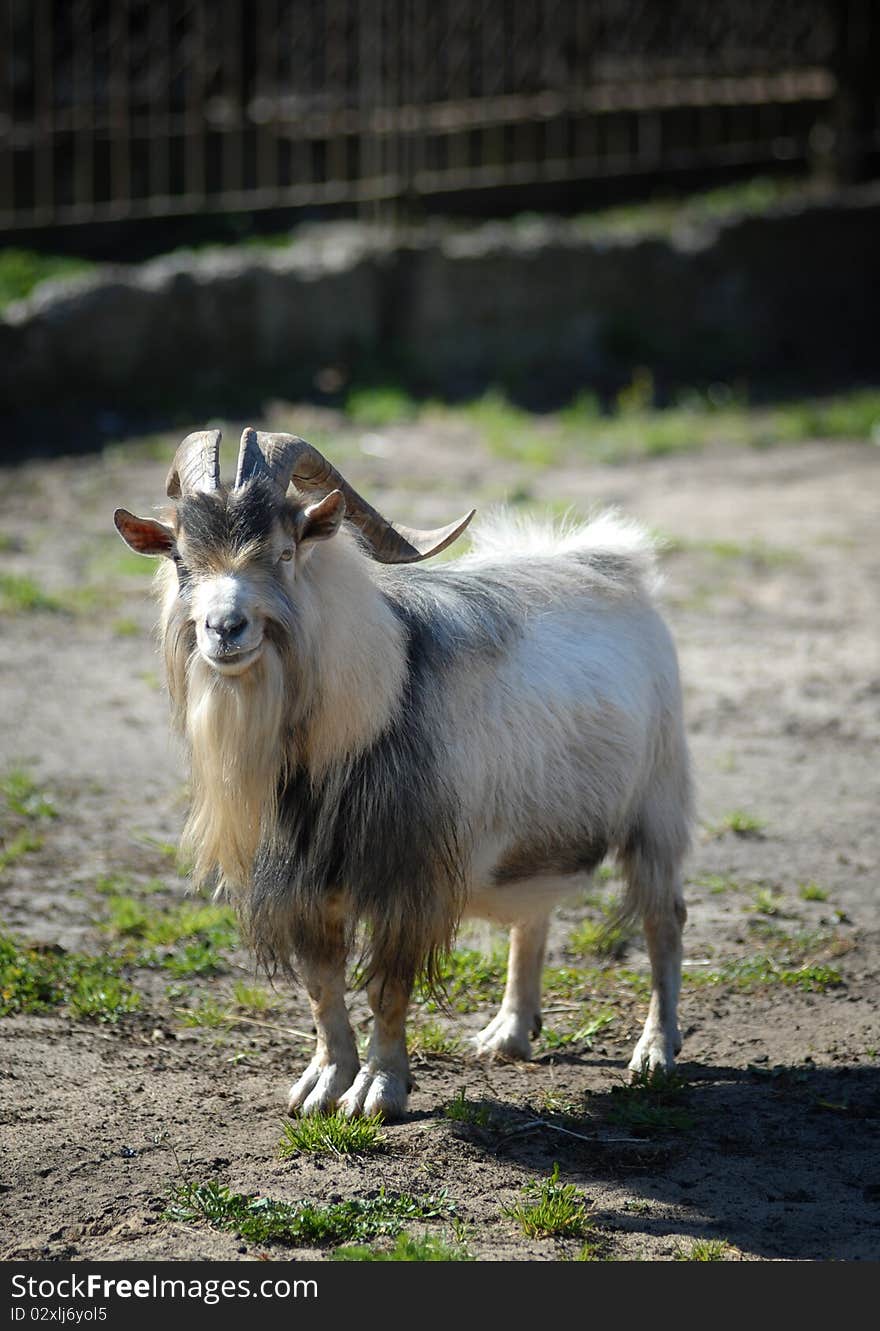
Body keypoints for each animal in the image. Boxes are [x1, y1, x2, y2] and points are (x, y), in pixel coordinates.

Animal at [115, 431, 692, 1118]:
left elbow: (388, 989)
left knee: (664, 922)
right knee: (534, 918)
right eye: (181, 558)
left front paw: (378, 1091)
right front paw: (322, 1084)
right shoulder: (302, 887)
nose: (225, 629)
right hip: (538, 832)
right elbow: (322, 988)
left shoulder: (408, 877)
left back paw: (655, 1053)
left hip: (657, 806)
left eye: (285, 550)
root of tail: (615, 563)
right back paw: (508, 1034)